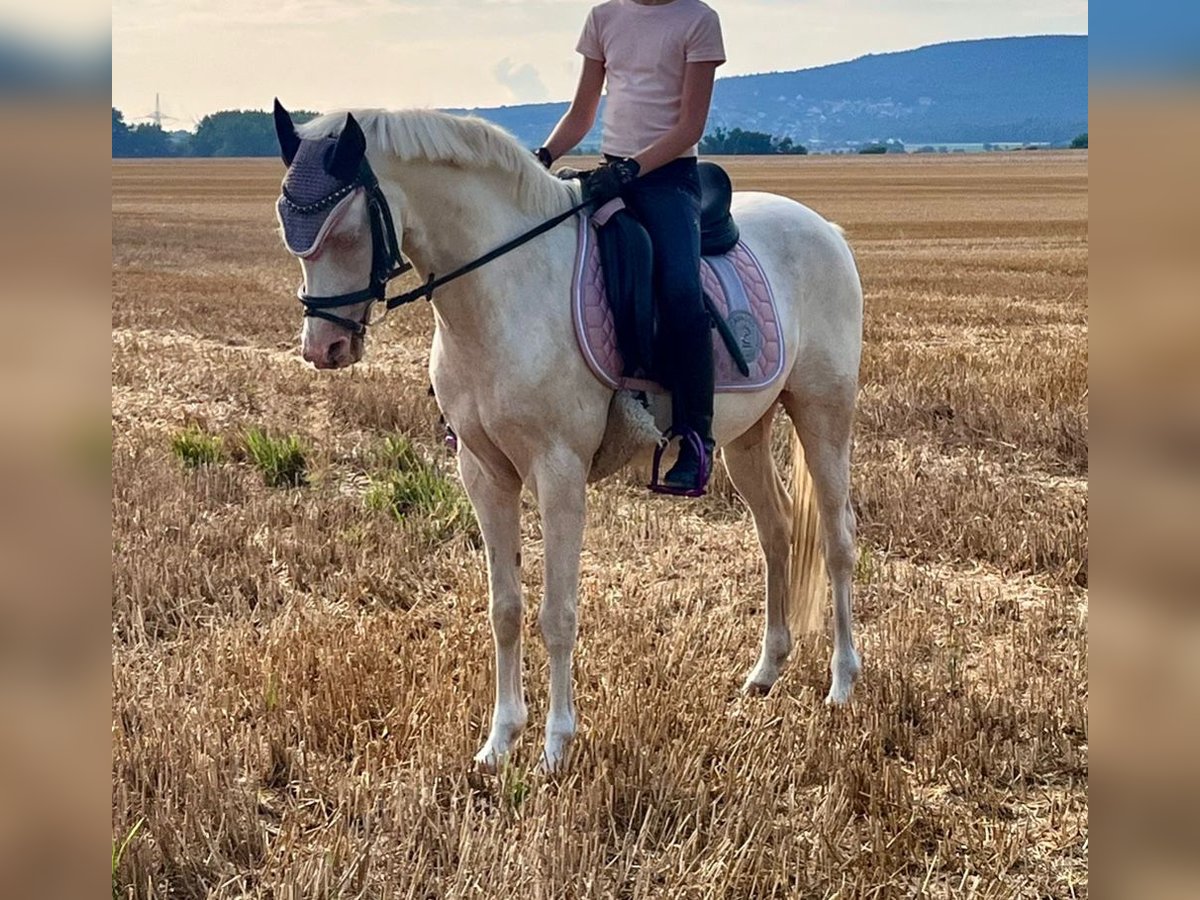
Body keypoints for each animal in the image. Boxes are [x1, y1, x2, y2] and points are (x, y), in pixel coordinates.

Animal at [274, 103, 864, 768]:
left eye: (347, 232)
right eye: (289, 228)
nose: (323, 349)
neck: (503, 288)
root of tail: (825, 228)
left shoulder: (559, 473)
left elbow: (557, 613)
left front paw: (556, 744)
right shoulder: (484, 473)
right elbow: (505, 608)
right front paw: (500, 741)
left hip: (823, 414)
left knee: (837, 539)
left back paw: (842, 682)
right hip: (745, 438)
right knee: (777, 531)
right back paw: (766, 670)